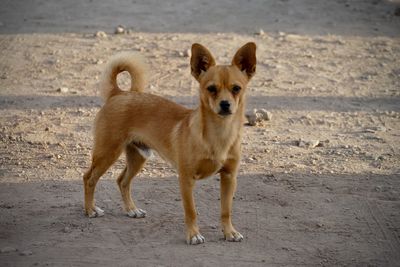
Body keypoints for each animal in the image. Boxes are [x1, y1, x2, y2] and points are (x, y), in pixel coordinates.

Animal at [83, 43, 258, 246]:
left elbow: (226, 210)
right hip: (107, 153)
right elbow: (191, 211)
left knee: (122, 180)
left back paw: (131, 210)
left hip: (138, 157)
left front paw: (230, 232)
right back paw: (90, 210)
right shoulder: (186, 179)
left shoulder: (229, 177)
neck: (218, 134)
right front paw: (193, 235)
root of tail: (119, 93)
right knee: (89, 178)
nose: (225, 104)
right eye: (211, 89)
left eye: (236, 88)